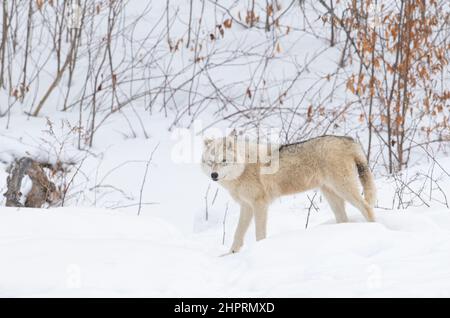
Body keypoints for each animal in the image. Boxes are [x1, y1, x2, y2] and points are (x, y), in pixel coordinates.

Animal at [201, 133, 376, 255]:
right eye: (210, 162)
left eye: (224, 161)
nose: (214, 175)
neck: (244, 168)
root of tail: (348, 139)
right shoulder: (246, 206)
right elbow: (238, 234)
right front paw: (230, 255)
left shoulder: (259, 204)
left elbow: (259, 234)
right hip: (332, 195)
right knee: (344, 219)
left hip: (344, 190)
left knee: (367, 208)